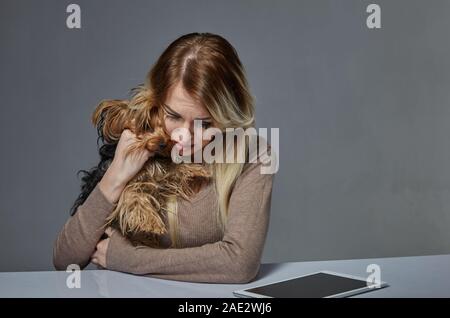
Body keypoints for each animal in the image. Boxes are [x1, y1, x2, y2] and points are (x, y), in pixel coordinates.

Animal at [92, 98, 213, 247]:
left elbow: (172, 168)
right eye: (145, 126)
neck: (151, 160)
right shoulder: (127, 186)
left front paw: (197, 170)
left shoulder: (161, 177)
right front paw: (153, 224)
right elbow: (136, 197)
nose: (163, 144)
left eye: (166, 129)